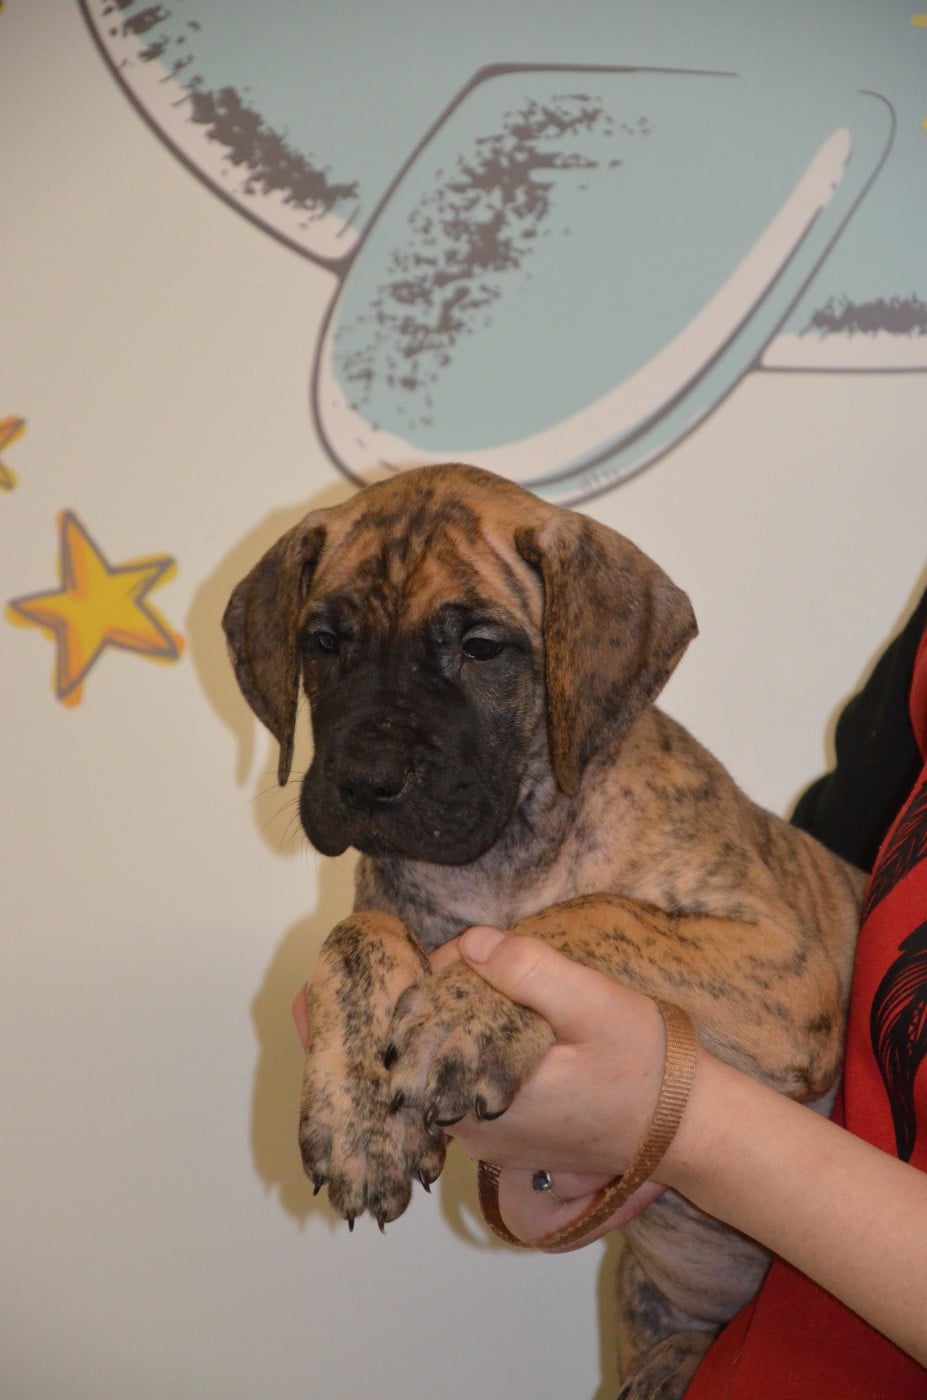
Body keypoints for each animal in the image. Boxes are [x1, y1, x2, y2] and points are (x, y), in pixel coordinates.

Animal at [224, 463, 864, 1399]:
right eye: (324, 642)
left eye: (482, 648)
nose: (365, 781)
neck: (502, 859)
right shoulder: (388, 911)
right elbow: (354, 939)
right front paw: (359, 1123)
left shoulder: (785, 970)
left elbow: (588, 914)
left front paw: (467, 1014)